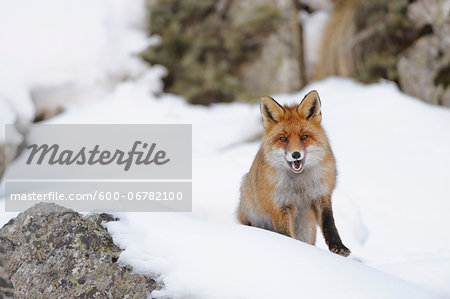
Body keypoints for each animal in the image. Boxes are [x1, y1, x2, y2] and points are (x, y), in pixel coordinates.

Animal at [237, 91, 350, 258]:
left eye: (304, 137)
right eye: (283, 139)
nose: (296, 154)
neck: (299, 186)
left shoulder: (321, 196)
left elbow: (329, 224)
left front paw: (338, 247)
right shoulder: (280, 206)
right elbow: (286, 235)